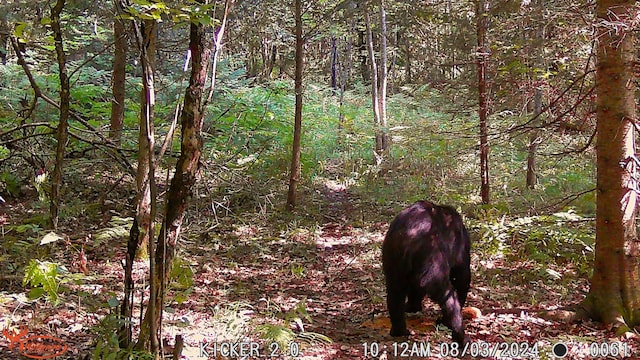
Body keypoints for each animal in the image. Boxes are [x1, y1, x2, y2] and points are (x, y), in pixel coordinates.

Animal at [382, 201, 472, 344]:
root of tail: (407, 237)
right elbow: (462, 278)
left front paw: (412, 306)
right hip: (430, 255)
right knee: (447, 295)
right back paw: (459, 334)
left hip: (392, 259)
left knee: (395, 292)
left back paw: (399, 330)